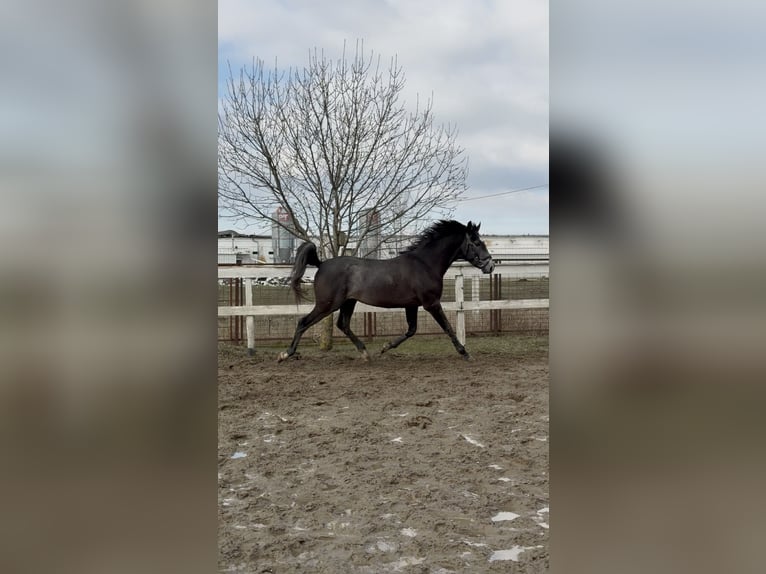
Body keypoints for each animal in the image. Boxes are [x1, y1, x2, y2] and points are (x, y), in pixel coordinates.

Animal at [277, 220, 495, 362]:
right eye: (476, 243)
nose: (490, 265)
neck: (425, 264)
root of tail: (321, 264)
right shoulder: (431, 303)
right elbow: (448, 327)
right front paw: (465, 353)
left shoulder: (412, 305)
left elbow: (411, 330)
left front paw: (384, 348)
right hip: (327, 304)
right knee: (303, 322)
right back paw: (285, 354)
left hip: (348, 302)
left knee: (343, 325)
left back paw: (365, 353)